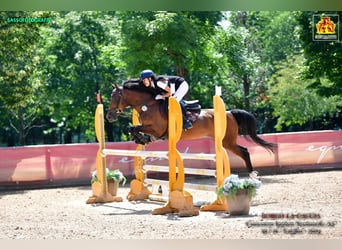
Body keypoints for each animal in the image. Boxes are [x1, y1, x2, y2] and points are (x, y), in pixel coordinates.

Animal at [107, 79, 278, 176]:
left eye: (115, 97)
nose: (109, 117)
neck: (148, 105)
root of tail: (229, 113)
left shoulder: (157, 129)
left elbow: (134, 128)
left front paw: (141, 138)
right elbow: (132, 128)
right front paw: (142, 140)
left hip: (226, 141)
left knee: (244, 151)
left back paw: (252, 175)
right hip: (225, 141)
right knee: (243, 151)